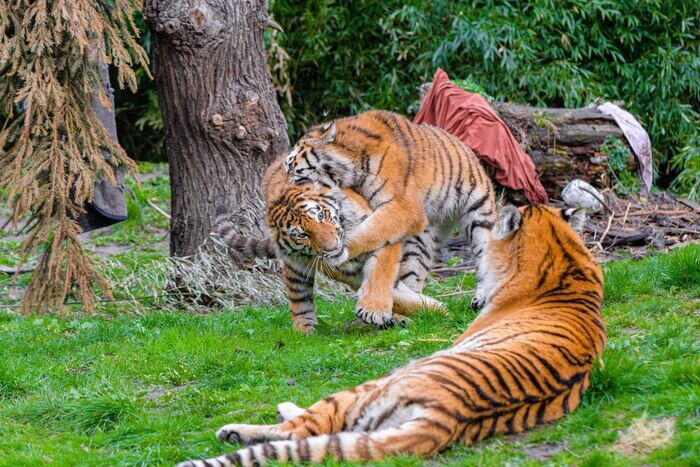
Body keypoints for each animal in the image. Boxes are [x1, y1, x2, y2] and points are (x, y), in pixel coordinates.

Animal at [215, 156, 445, 333]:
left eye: (320, 215)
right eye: (302, 235)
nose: (332, 247)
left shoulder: (383, 228)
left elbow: (382, 273)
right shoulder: (348, 274)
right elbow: (395, 295)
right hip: (296, 269)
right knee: (299, 298)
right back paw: (305, 331)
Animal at [283, 109, 498, 318]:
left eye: (292, 166)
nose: (282, 188)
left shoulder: (403, 206)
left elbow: (368, 231)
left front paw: (340, 252)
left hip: (480, 214)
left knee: (485, 258)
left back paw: (481, 299)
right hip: (421, 239)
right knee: (413, 273)